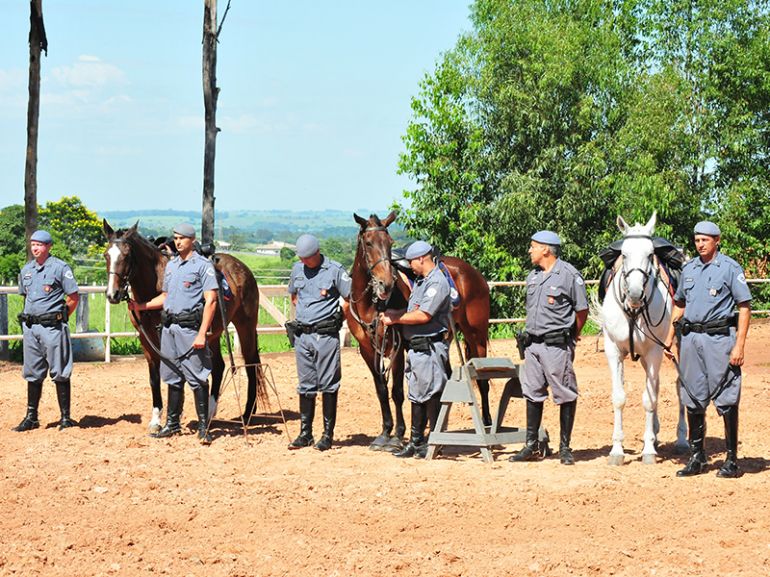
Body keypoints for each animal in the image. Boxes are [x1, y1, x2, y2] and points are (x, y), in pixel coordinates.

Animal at [102, 220, 264, 432]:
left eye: (127, 255)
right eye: (106, 254)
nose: (113, 294)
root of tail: (244, 270)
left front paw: (174, 417)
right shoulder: (146, 339)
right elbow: (154, 377)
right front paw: (157, 419)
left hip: (246, 326)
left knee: (251, 364)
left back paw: (247, 414)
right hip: (212, 333)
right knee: (219, 367)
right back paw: (210, 413)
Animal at [344, 212, 488, 450]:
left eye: (390, 242)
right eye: (369, 243)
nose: (386, 283)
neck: (370, 304)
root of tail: (473, 273)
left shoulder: (396, 347)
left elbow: (397, 392)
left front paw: (397, 435)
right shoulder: (367, 350)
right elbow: (381, 390)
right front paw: (385, 432)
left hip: (477, 336)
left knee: (483, 379)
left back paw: (486, 423)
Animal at [600, 212, 684, 464]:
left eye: (649, 254)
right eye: (624, 254)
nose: (635, 293)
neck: (634, 311)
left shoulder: (655, 351)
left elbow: (648, 400)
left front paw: (648, 451)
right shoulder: (613, 351)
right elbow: (619, 398)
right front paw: (617, 450)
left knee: (679, 387)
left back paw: (681, 440)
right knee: (655, 386)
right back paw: (655, 434)